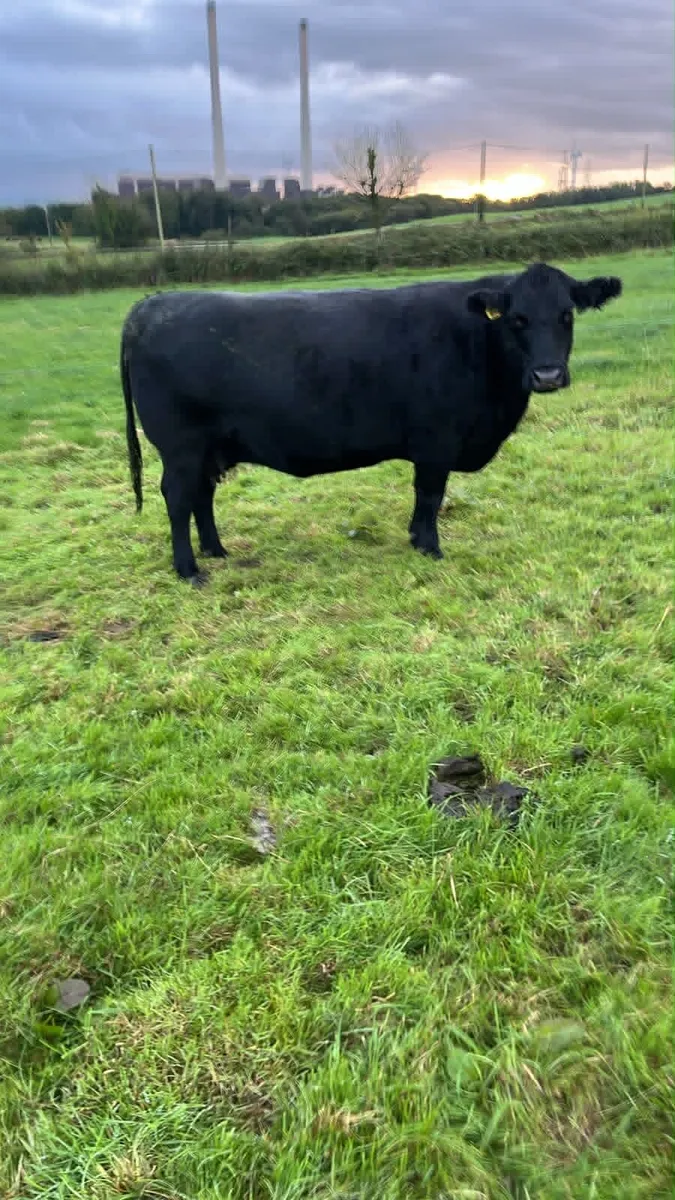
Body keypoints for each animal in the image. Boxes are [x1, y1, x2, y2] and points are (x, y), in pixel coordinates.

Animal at [120, 262, 622, 583]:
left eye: (566, 314)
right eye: (517, 319)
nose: (548, 375)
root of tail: (149, 306)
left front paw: (418, 540)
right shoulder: (436, 440)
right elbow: (430, 495)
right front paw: (429, 547)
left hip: (209, 446)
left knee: (201, 496)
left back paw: (216, 550)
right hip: (181, 445)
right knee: (178, 497)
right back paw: (190, 570)